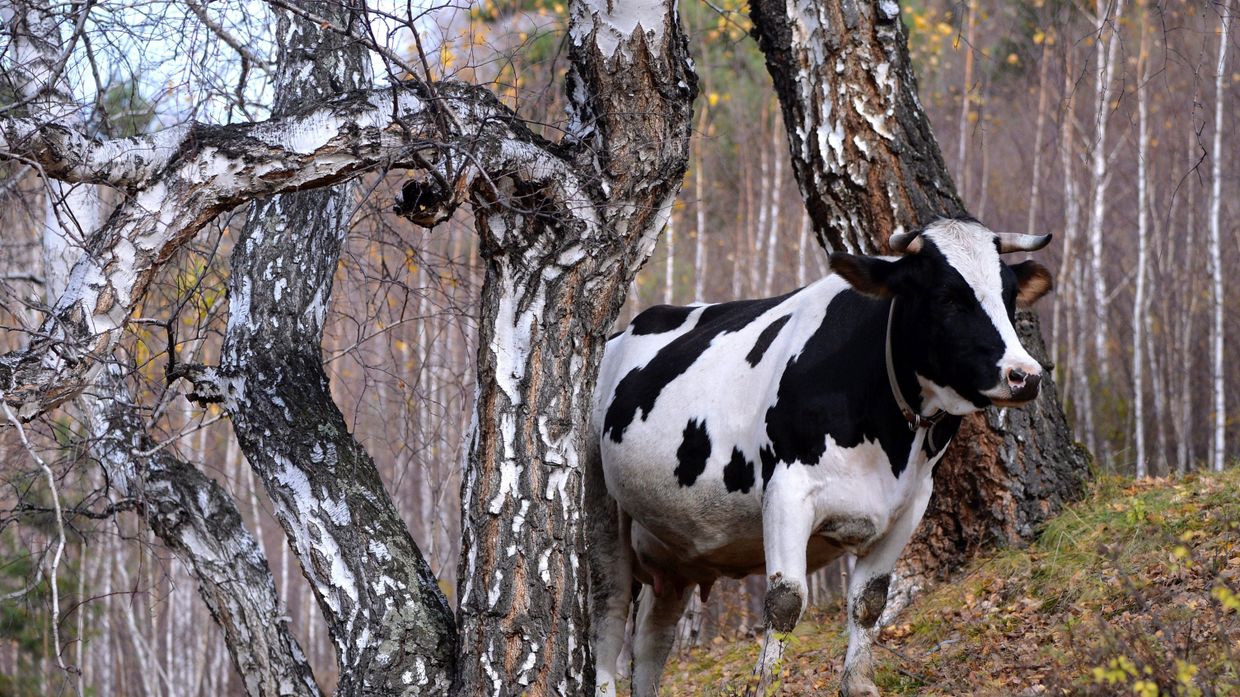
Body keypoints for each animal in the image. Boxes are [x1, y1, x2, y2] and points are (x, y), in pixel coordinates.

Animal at [585, 217, 1055, 696]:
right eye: (946, 296)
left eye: (1009, 295)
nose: (1025, 375)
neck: (889, 440)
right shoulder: (787, 491)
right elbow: (786, 601)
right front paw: (766, 686)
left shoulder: (911, 505)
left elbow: (869, 601)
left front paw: (860, 684)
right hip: (600, 505)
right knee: (608, 612)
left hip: (671, 550)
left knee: (652, 639)